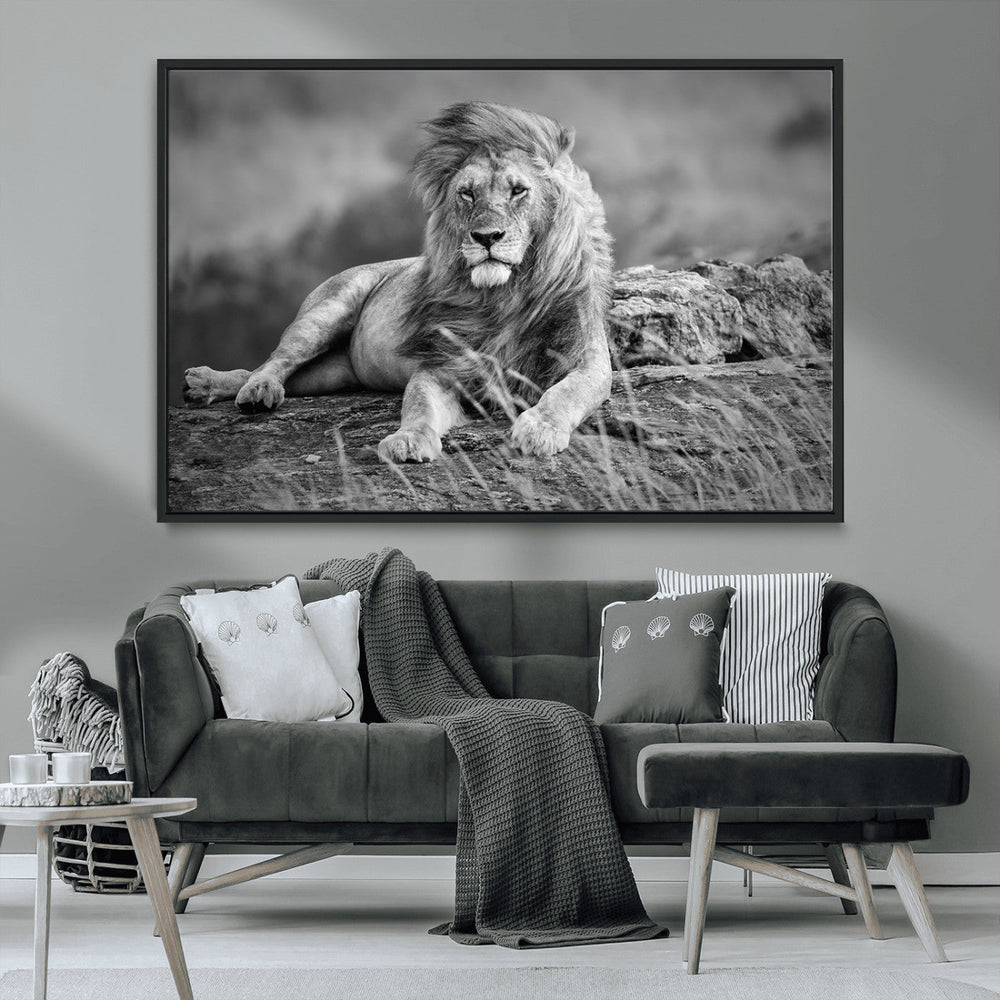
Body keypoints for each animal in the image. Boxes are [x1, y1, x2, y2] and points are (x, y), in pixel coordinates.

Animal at [183, 101, 613, 463]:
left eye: (518, 190)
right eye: (467, 194)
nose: (486, 237)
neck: (504, 295)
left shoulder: (588, 360)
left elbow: (565, 393)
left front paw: (540, 429)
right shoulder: (441, 365)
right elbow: (418, 404)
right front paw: (408, 440)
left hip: (332, 374)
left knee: (277, 374)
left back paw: (207, 385)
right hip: (326, 311)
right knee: (274, 361)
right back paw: (247, 389)